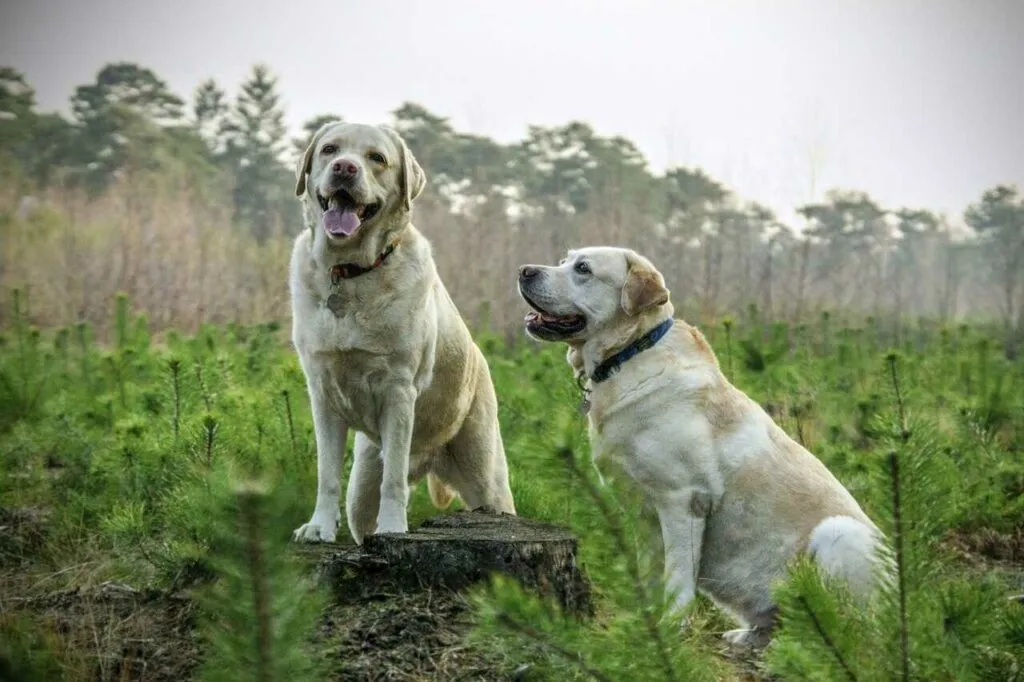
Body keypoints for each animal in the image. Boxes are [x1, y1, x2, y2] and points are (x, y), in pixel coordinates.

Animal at [516, 242, 884, 643]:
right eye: (564, 261)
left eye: (583, 269)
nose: (524, 270)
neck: (631, 353)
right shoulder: (643, 513)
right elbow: (650, 571)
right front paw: (647, 622)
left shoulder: (684, 500)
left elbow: (677, 577)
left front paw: (671, 626)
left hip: (838, 533)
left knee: (857, 629)